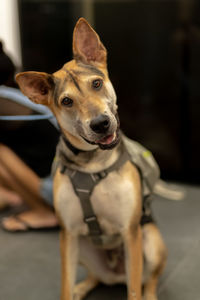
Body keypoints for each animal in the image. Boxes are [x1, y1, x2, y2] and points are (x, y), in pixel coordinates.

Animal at [16, 18, 167, 300]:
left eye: (96, 83)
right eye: (66, 101)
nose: (100, 124)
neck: (93, 163)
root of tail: (115, 272)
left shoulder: (130, 231)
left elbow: (134, 290)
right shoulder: (68, 234)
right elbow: (64, 284)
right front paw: (70, 289)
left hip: (150, 241)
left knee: (148, 280)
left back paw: (149, 294)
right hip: (82, 248)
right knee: (97, 277)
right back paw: (82, 287)